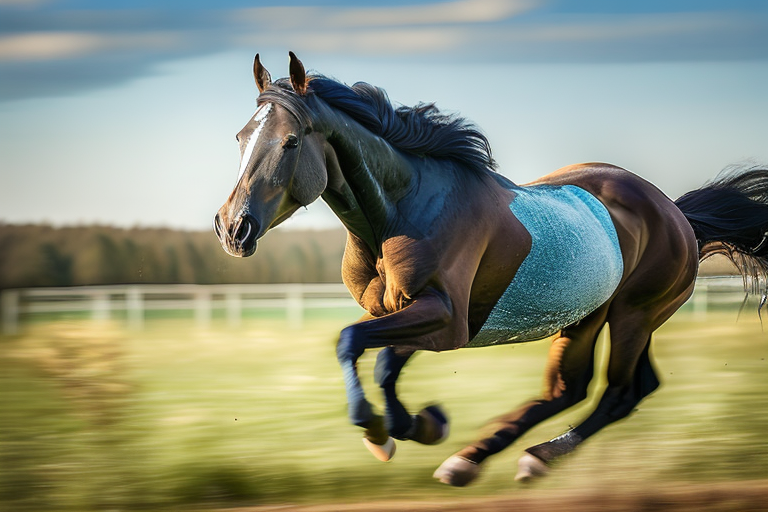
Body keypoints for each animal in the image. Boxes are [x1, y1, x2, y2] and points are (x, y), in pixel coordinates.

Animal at [213, 53, 768, 488]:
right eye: (240, 137)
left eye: (290, 142)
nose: (232, 228)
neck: (401, 209)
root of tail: (676, 214)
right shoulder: (400, 312)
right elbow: (370, 354)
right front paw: (411, 426)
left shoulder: (447, 318)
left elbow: (364, 349)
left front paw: (395, 427)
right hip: (589, 314)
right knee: (580, 388)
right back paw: (479, 459)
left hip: (633, 314)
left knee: (617, 391)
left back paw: (532, 458)